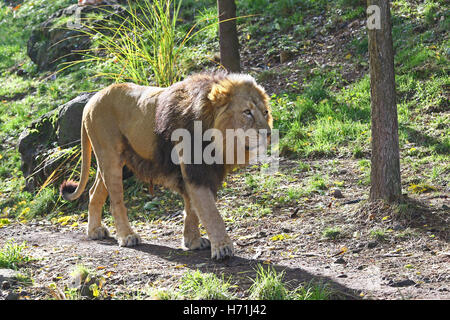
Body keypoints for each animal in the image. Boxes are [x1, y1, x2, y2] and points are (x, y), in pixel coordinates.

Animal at [58, 70, 272, 260]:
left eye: (265, 112)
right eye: (247, 112)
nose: (268, 133)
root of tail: (91, 100)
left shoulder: (201, 172)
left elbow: (192, 208)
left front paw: (192, 242)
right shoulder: (196, 170)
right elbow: (210, 212)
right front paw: (223, 248)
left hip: (113, 163)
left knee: (94, 192)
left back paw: (94, 230)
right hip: (110, 158)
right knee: (116, 202)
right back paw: (127, 236)